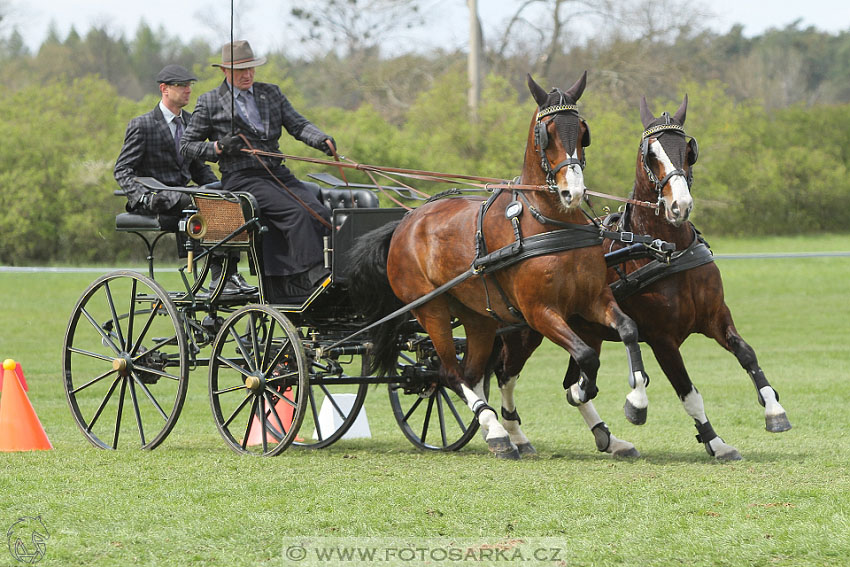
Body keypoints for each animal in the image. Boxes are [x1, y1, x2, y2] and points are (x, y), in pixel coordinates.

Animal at [350, 72, 648, 462]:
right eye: (547, 133)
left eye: (583, 131)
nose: (573, 192)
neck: (550, 223)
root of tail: (405, 222)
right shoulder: (540, 312)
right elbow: (585, 354)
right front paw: (581, 391)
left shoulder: (593, 299)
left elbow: (627, 330)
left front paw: (635, 402)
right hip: (432, 310)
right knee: (450, 372)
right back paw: (495, 431)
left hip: (479, 318)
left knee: (472, 372)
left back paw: (500, 431)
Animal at [496, 95, 788, 460]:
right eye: (651, 153)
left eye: (688, 150)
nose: (680, 205)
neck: (667, 249)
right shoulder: (663, 338)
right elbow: (688, 391)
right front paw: (713, 440)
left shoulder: (716, 317)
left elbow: (747, 353)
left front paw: (774, 411)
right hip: (526, 330)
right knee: (505, 376)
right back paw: (513, 437)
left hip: (585, 331)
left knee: (570, 381)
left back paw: (607, 437)